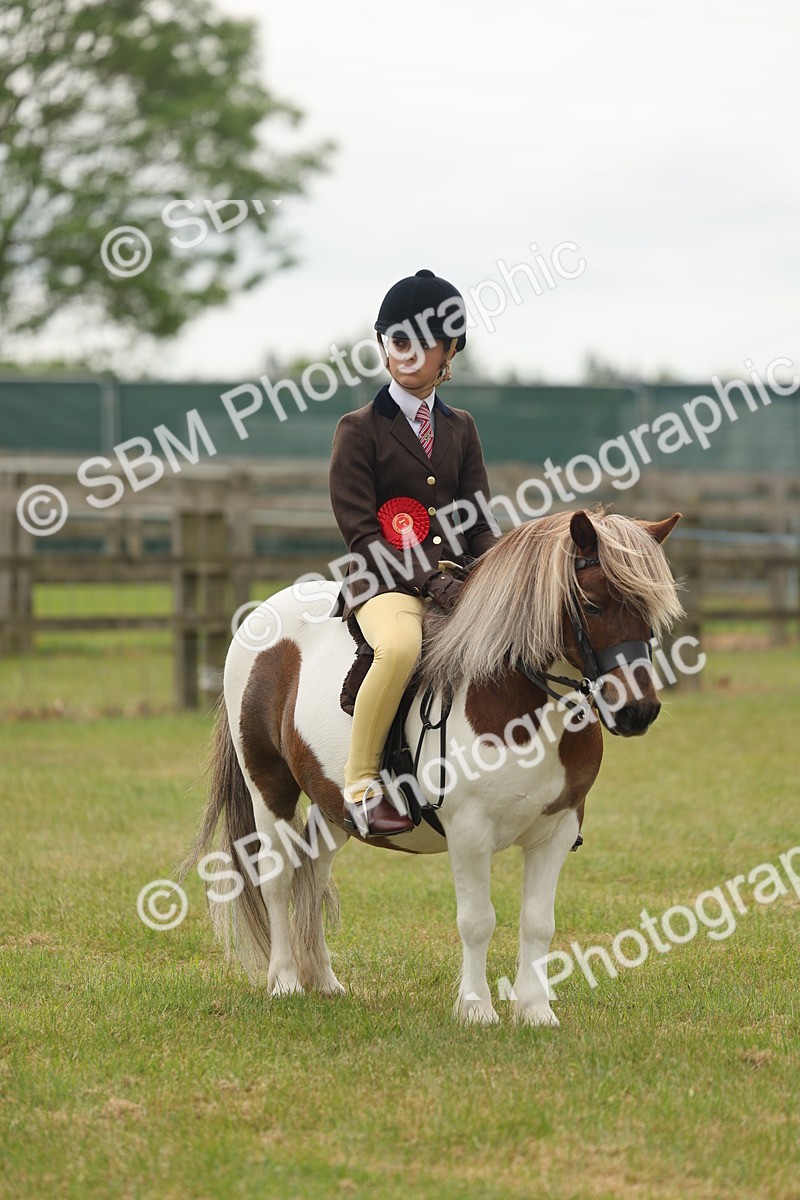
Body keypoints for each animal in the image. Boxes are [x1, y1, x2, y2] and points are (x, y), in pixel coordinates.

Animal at [182, 507, 684, 1026]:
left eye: (650, 609)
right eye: (592, 604)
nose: (637, 711)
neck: (522, 701)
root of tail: (261, 615)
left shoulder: (556, 829)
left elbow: (538, 922)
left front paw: (535, 1011)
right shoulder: (470, 831)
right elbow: (478, 921)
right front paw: (476, 1010)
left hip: (333, 802)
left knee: (313, 871)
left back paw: (323, 980)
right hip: (269, 785)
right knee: (278, 877)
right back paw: (284, 982)